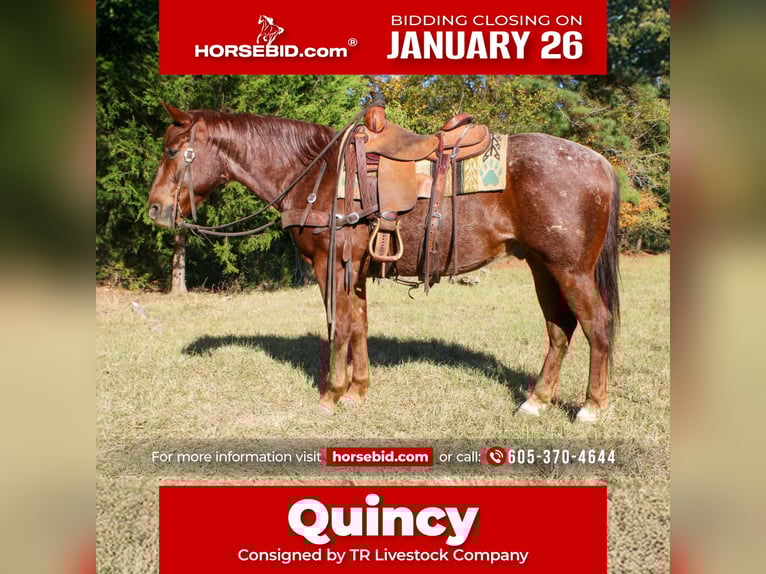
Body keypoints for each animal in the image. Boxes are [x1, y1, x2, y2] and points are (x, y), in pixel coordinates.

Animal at [147, 102, 620, 423]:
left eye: (171, 151)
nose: (154, 209)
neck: (315, 173)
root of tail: (600, 162)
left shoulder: (331, 264)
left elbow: (339, 326)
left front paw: (331, 395)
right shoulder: (356, 267)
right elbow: (359, 324)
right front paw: (357, 392)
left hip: (570, 270)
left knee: (596, 324)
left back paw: (592, 408)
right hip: (543, 267)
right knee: (559, 329)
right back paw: (536, 400)